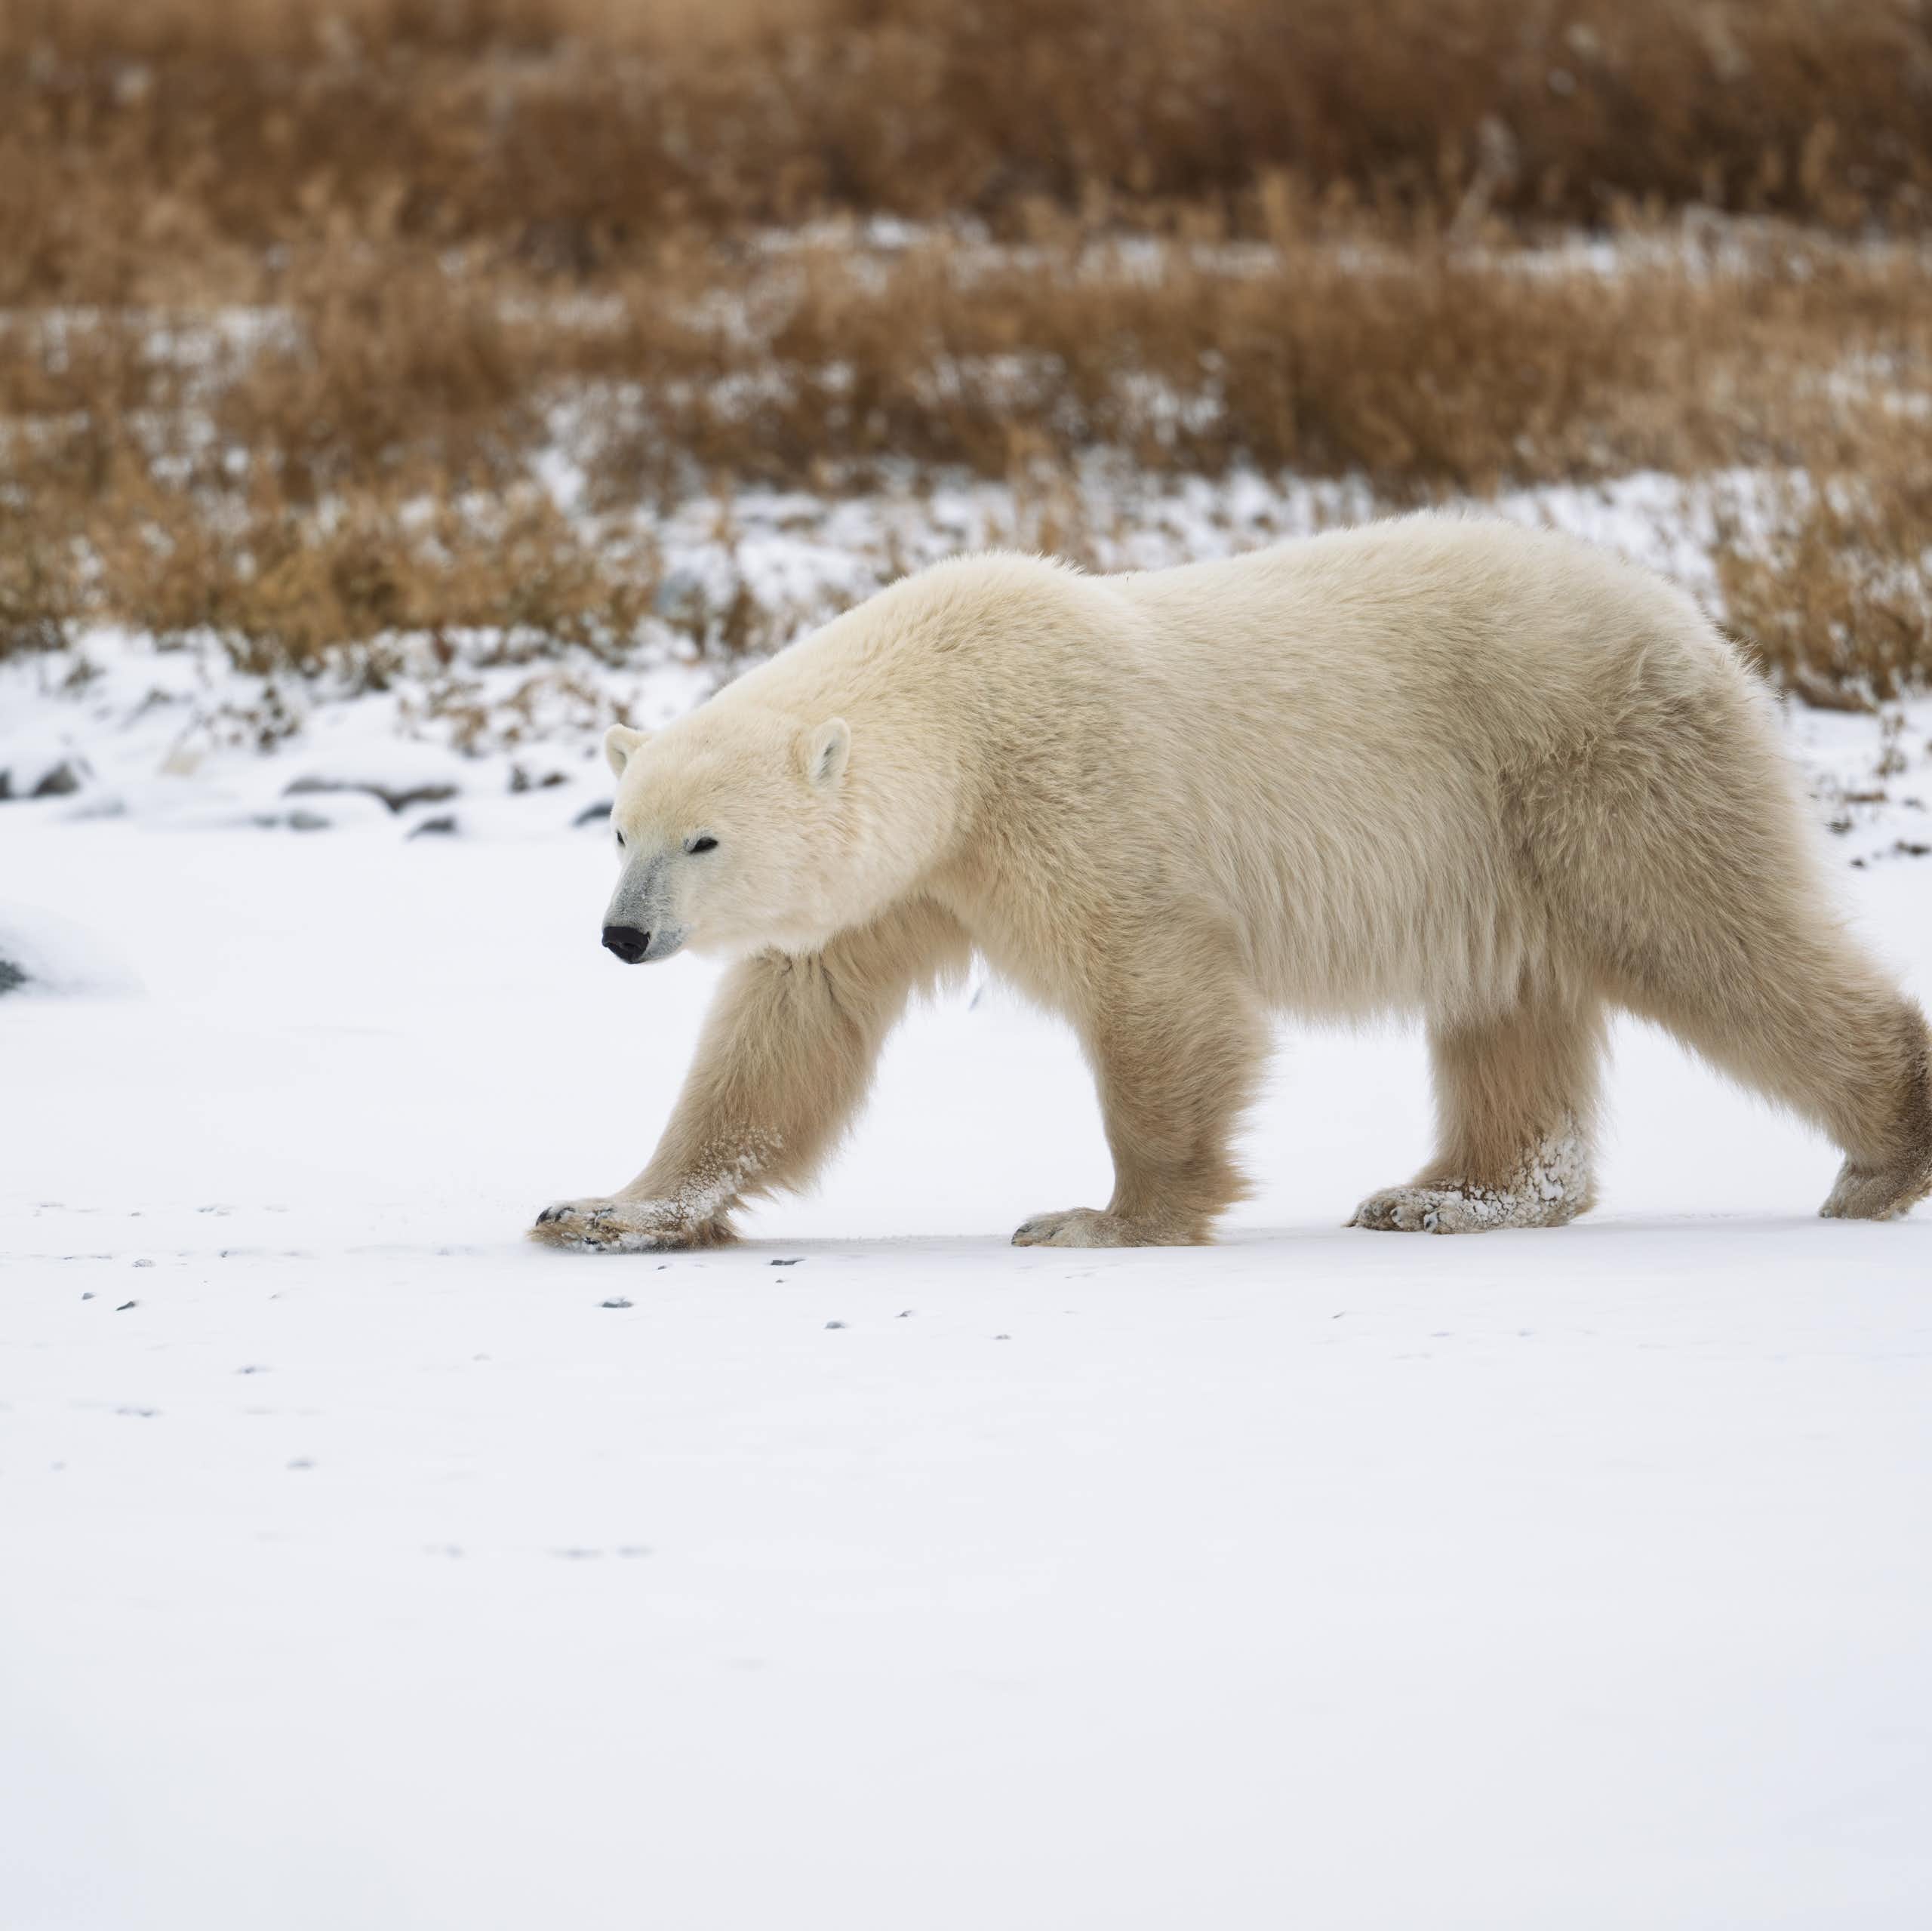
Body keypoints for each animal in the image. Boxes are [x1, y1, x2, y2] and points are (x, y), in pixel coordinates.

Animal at [531, 513, 1932, 1251]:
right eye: (623, 831)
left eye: (704, 841)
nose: (620, 936)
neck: (966, 715)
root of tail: (1694, 624)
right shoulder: (905, 881)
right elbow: (783, 1035)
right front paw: (605, 1206)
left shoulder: (1077, 800)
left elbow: (1156, 996)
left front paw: (1102, 1217)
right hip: (1510, 841)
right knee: (1511, 1009)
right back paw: (1445, 1195)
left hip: (1593, 772)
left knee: (1713, 943)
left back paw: (1881, 1158)